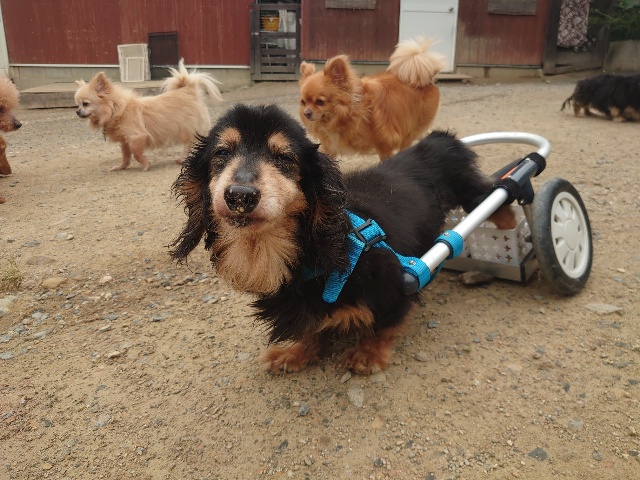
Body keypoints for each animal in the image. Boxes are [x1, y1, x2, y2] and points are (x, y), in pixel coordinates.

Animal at [75, 59, 222, 171]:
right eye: (78, 105)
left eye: (85, 104)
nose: (77, 111)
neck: (116, 110)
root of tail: (188, 90)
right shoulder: (125, 141)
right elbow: (126, 156)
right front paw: (121, 167)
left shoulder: (136, 137)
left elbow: (136, 154)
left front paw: (146, 165)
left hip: (187, 127)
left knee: (189, 143)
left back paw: (183, 158)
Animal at [170, 104, 516, 375]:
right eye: (222, 152)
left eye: (285, 158)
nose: (240, 196)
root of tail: (435, 139)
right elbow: (311, 330)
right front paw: (295, 353)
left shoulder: (399, 284)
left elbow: (386, 323)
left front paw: (368, 354)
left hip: (469, 191)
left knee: (495, 192)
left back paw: (509, 221)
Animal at [298, 37, 444, 160]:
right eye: (303, 103)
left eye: (320, 102)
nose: (306, 113)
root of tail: (425, 78)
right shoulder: (330, 147)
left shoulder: (384, 143)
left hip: (409, 130)